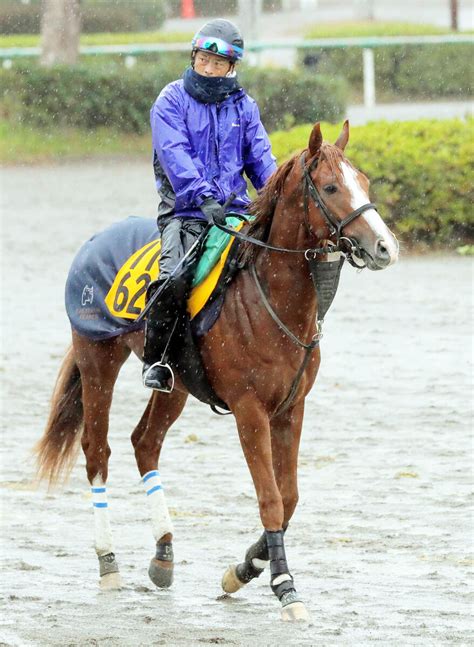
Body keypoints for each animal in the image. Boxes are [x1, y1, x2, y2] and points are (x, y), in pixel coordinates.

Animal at [37, 121, 398, 624]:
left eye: (363, 182)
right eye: (330, 187)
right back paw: (108, 562)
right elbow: (270, 498)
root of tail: (94, 241)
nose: (386, 246)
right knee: (97, 451)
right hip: (97, 356)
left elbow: (289, 497)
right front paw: (284, 586)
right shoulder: (250, 411)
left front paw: (244, 569)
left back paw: (163, 554)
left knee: (144, 441)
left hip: (174, 383)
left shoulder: (291, 408)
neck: (268, 298)